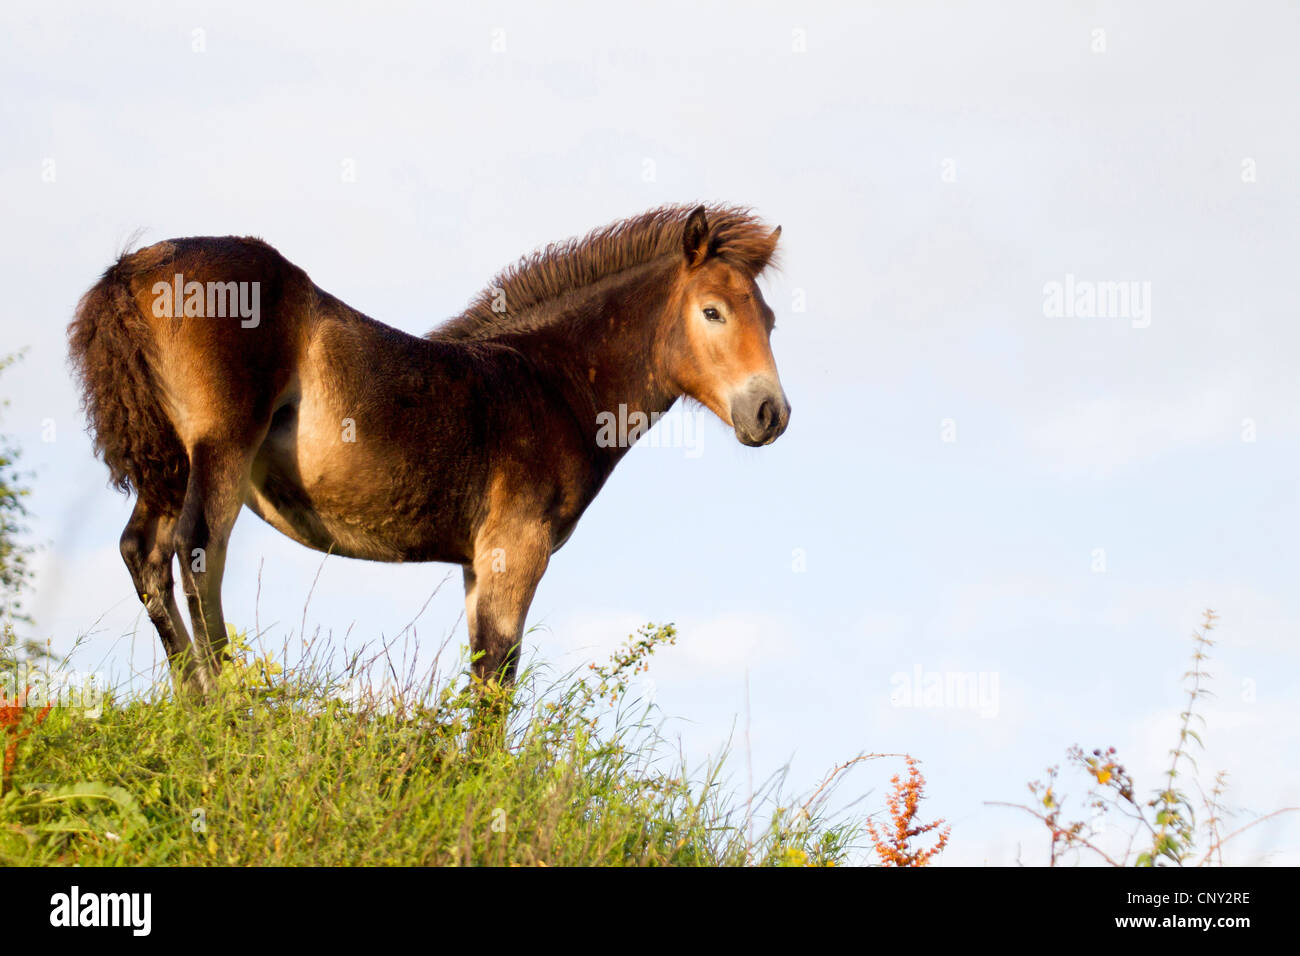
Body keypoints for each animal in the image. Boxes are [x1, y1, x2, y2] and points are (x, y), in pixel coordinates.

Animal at [68, 205, 790, 691]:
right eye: (712, 311)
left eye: (771, 318)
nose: (771, 413)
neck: (550, 383)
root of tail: (132, 270)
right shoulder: (516, 548)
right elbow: (498, 672)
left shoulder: (476, 561)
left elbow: (481, 668)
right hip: (218, 449)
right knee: (196, 552)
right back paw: (231, 707)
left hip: (168, 464)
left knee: (144, 554)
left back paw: (191, 702)